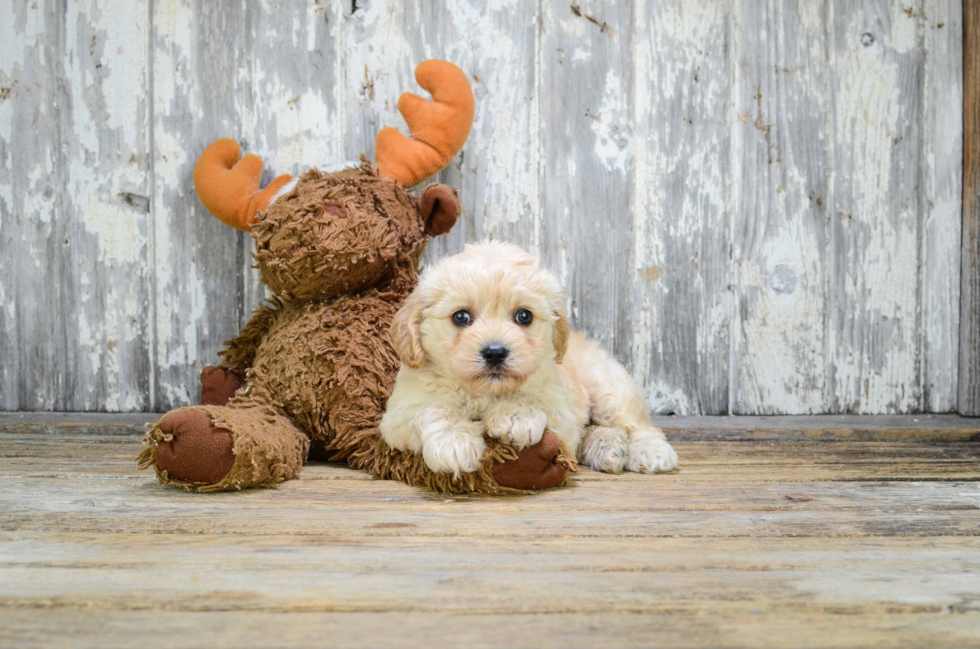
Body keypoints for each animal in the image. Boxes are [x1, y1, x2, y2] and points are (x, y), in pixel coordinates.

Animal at [378, 240, 676, 478]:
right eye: (460, 316)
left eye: (524, 316)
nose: (495, 352)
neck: (485, 393)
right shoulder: (396, 417)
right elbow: (434, 409)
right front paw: (455, 444)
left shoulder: (562, 412)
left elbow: (534, 402)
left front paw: (512, 416)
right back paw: (608, 446)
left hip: (609, 387)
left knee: (638, 426)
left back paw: (650, 453)